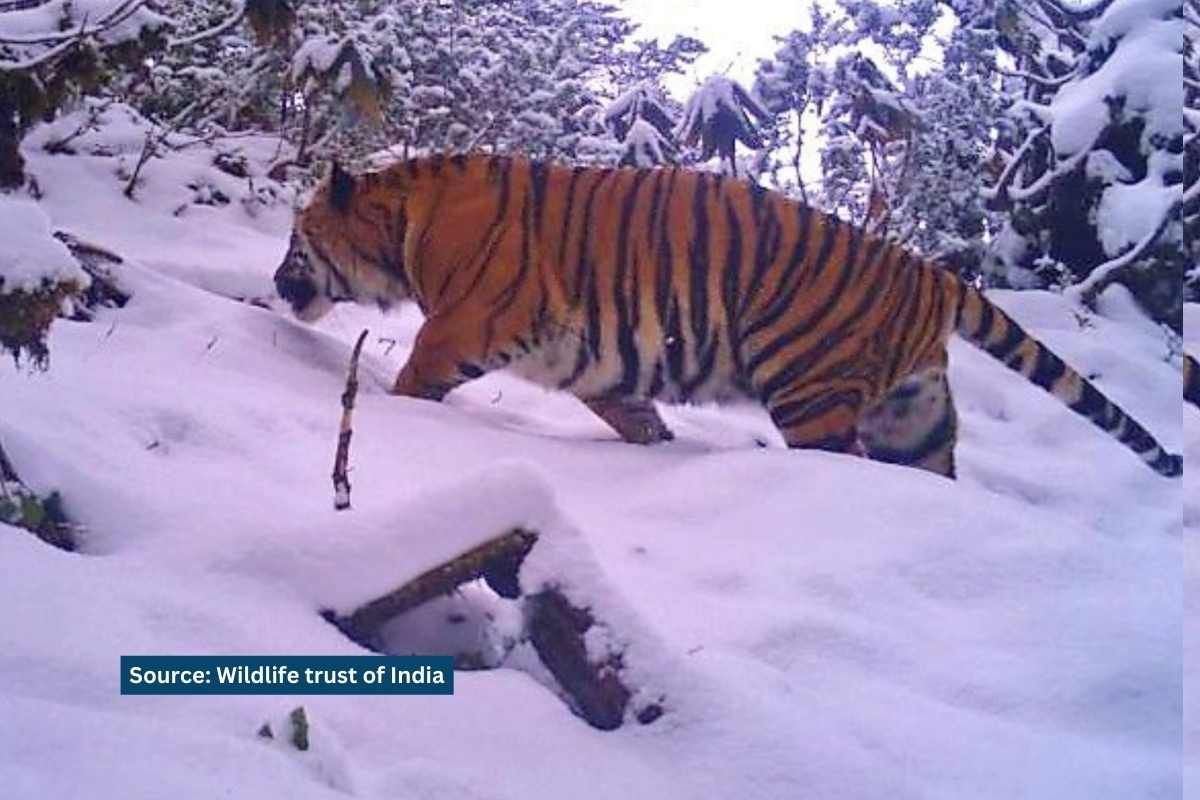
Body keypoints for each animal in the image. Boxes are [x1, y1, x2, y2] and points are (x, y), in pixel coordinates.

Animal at [273, 154, 1182, 479]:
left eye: (295, 239)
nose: (279, 284)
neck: (403, 226)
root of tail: (927, 272)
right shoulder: (602, 367)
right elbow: (637, 415)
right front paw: (657, 449)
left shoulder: (458, 328)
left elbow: (410, 384)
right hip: (914, 416)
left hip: (813, 391)